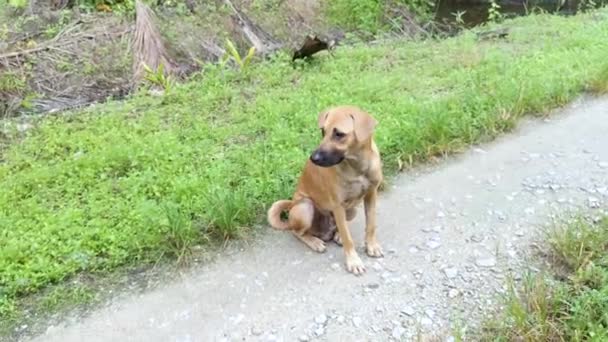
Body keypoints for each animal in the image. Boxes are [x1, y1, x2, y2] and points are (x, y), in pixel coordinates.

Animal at [268, 105, 382, 276]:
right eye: (323, 131)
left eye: (339, 134)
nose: (313, 158)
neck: (357, 166)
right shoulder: (338, 205)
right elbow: (349, 239)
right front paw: (353, 261)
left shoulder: (371, 195)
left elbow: (371, 225)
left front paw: (371, 246)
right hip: (305, 207)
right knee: (297, 232)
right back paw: (314, 241)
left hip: (352, 210)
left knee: (339, 227)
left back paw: (336, 235)